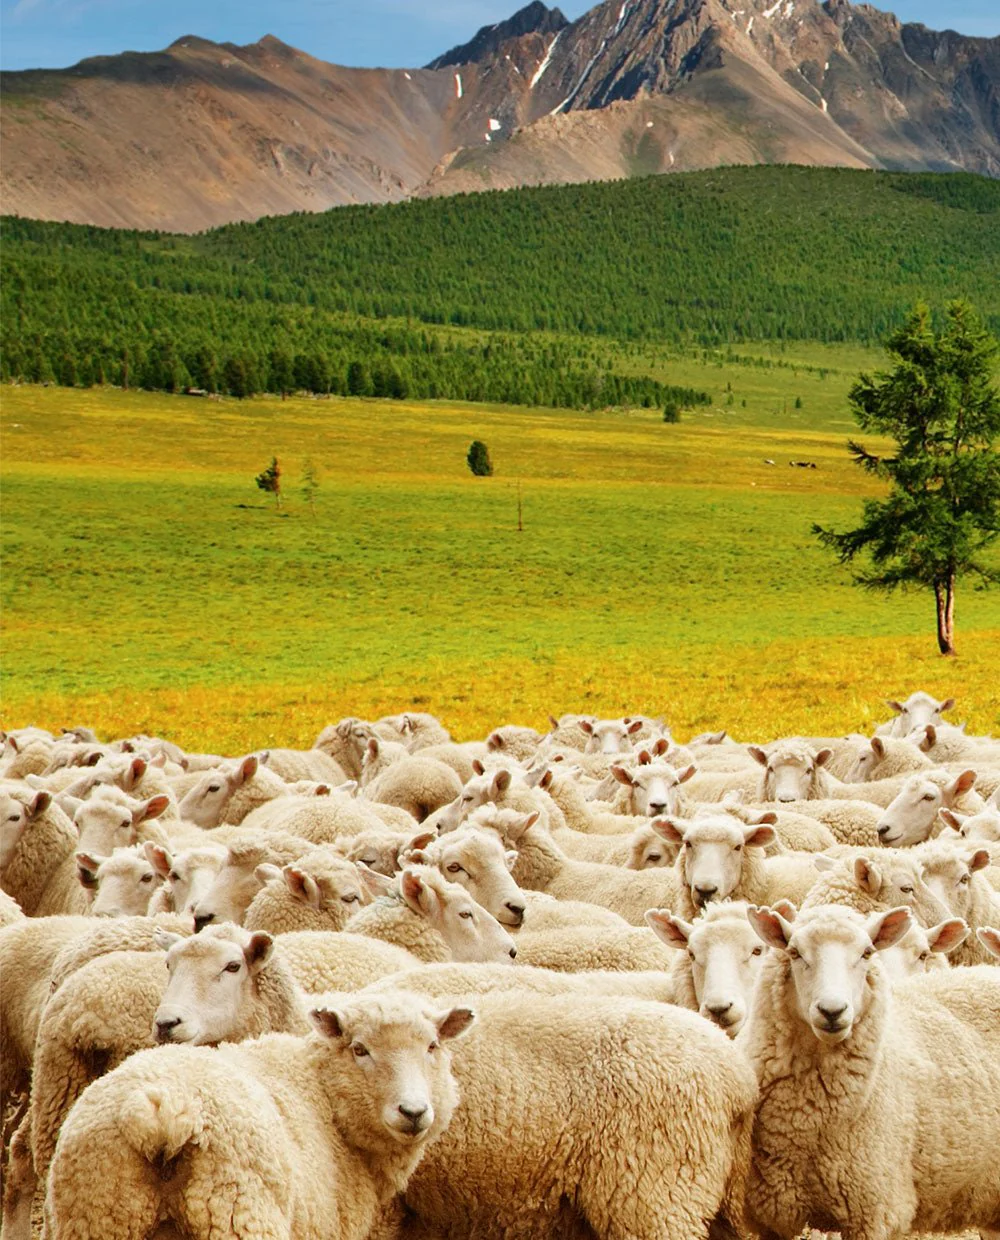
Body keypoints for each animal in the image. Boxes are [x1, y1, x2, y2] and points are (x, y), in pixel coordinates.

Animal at [45, 993, 475, 1240]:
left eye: (432, 1046)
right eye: (359, 1049)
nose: (413, 1111)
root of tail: (159, 1110)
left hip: (97, 1211)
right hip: (238, 1212)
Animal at [742, 902, 1000, 1237]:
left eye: (866, 953)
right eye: (795, 952)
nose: (832, 1010)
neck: (805, 1119)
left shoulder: (877, 1212)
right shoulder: (773, 1216)